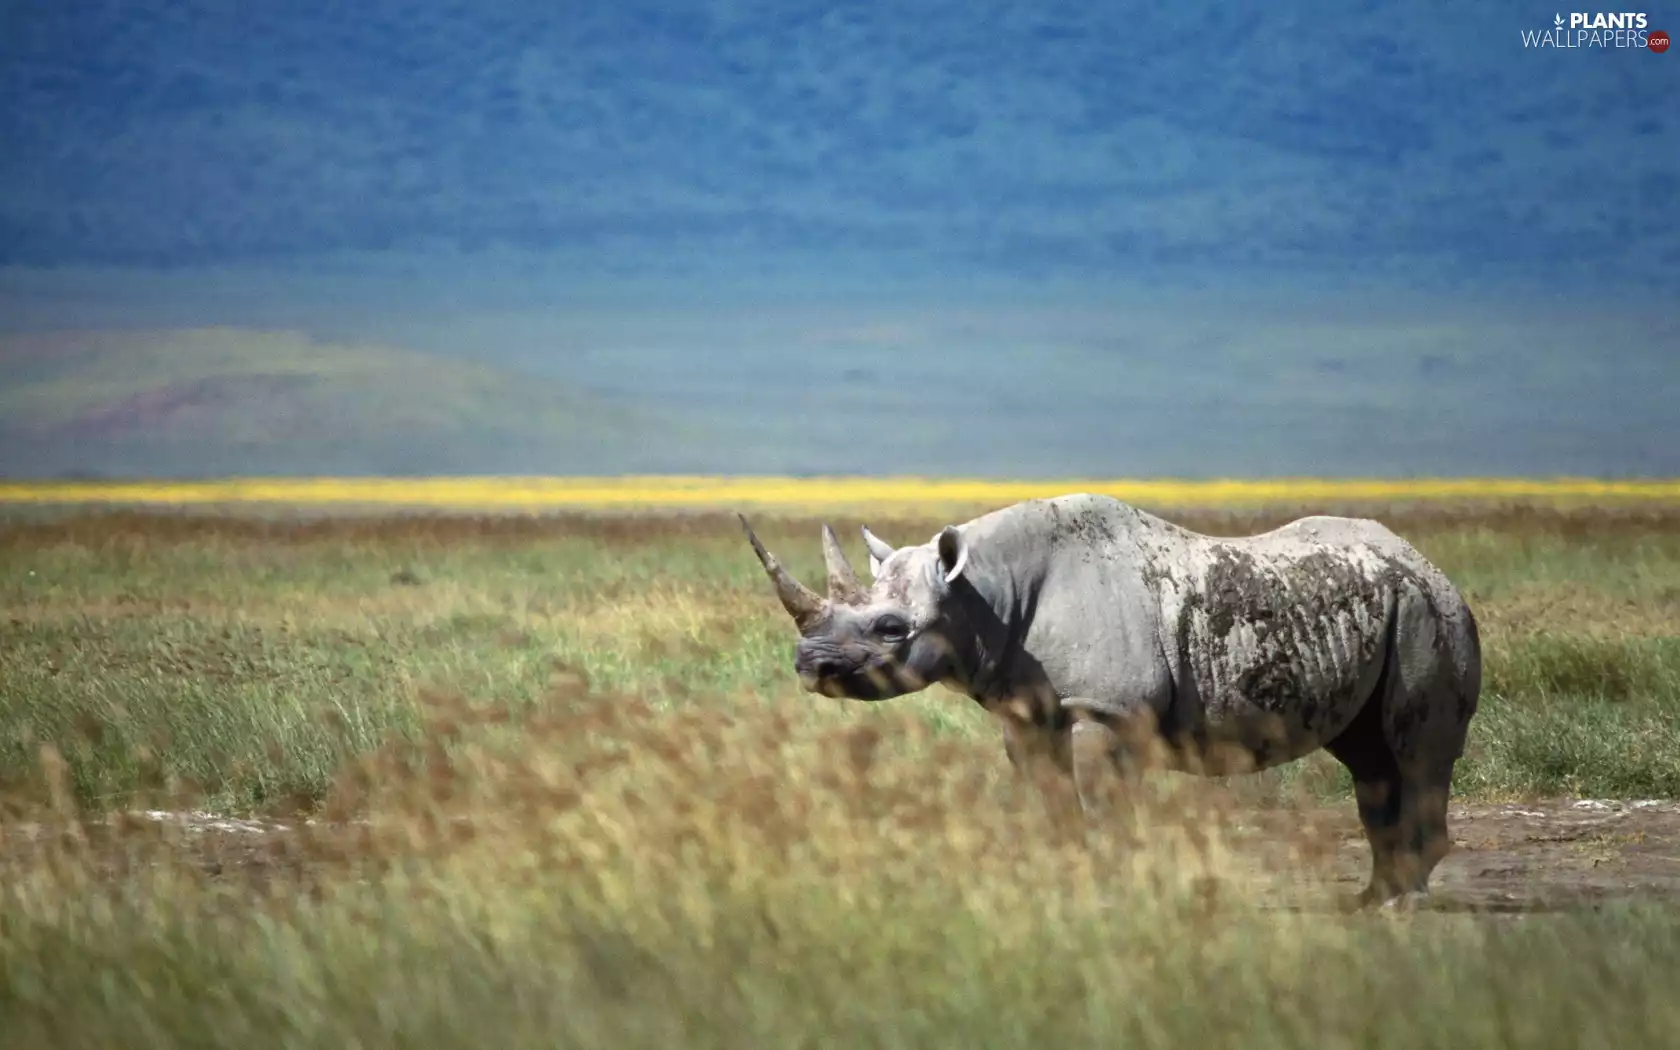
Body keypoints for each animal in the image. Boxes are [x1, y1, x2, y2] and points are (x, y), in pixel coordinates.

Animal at [738, 493, 1482, 910]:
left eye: (891, 628)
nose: (810, 666)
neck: (982, 592)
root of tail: (1430, 564)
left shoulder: (1106, 707)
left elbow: (1103, 808)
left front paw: (1108, 889)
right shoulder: (1026, 710)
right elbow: (1049, 800)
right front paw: (1061, 884)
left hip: (1429, 611)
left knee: (1413, 752)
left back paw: (1401, 907)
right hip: (1388, 605)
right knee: (1368, 759)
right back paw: (1369, 901)